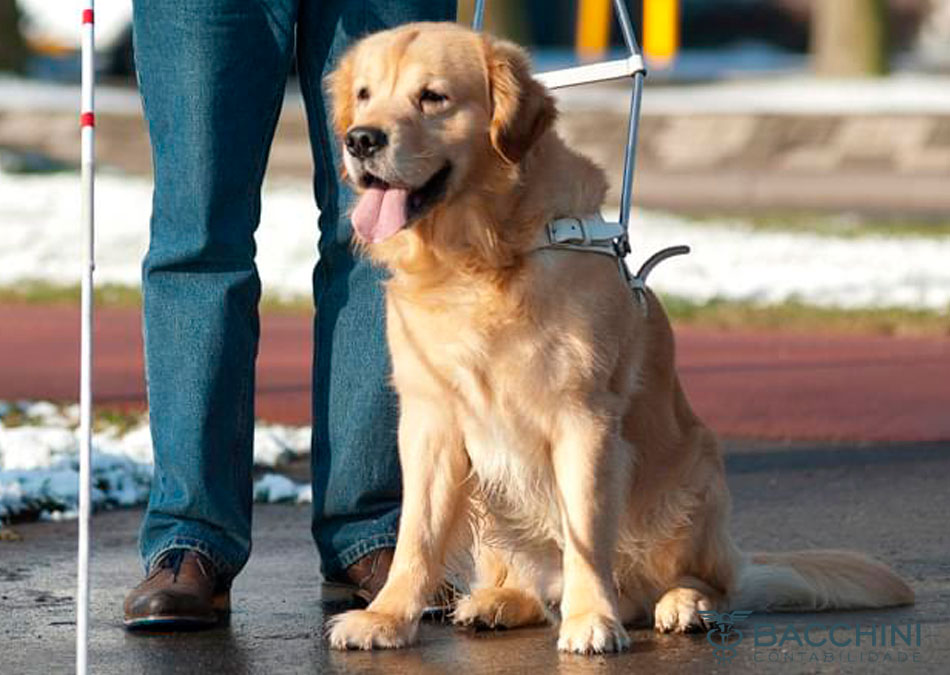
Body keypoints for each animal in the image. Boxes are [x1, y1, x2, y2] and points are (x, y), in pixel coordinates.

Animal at [326, 22, 916, 656]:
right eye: (364, 95)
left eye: (432, 97)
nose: (360, 141)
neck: (479, 255)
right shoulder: (430, 419)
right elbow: (417, 534)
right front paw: (386, 617)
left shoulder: (583, 416)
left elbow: (585, 530)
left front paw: (592, 618)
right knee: (527, 580)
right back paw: (498, 601)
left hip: (696, 473)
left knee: (702, 583)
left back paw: (682, 605)